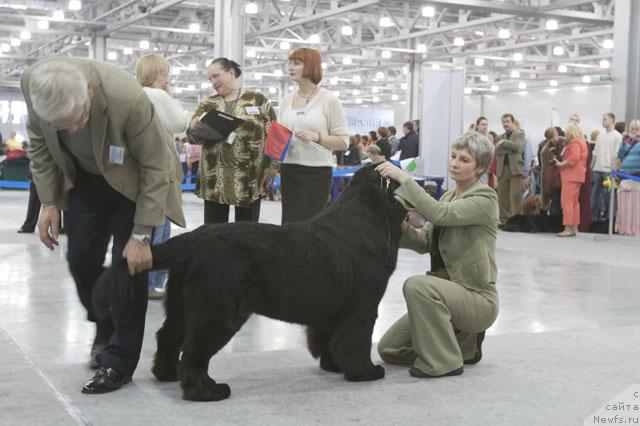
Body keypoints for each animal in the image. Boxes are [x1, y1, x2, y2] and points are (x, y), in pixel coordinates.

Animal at [92, 166, 408, 402]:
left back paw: (168, 374)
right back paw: (206, 391)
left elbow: (327, 340)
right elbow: (355, 342)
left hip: (182, 305)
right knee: (193, 351)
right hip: (219, 312)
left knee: (168, 337)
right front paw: (365, 372)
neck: (369, 217)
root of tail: (193, 240)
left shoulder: (331, 311)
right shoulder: (362, 308)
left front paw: (333, 366)